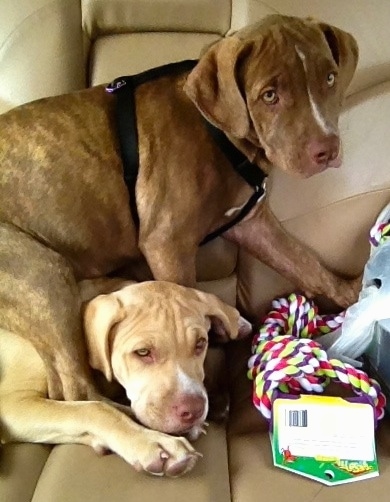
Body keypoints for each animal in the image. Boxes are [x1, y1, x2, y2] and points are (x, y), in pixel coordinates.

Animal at [0, 13, 360, 402]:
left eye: (329, 78)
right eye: (269, 95)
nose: (326, 149)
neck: (218, 133)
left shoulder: (250, 222)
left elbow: (305, 262)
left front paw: (353, 294)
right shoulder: (167, 243)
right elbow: (184, 302)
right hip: (42, 276)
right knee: (78, 388)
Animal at [0, 280, 251, 476]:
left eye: (200, 344)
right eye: (143, 352)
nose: (194, 411)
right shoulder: (12, 402)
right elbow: (94, 409)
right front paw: (153, 443)